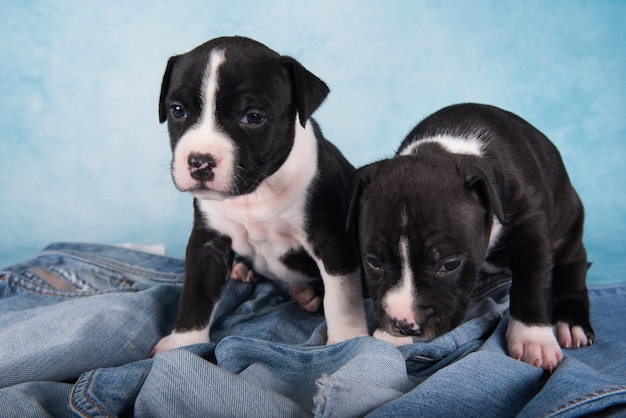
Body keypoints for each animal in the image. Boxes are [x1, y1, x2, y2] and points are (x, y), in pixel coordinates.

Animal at [152, 36, 366, 356]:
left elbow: (342, 299)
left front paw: (347, 339)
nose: (200, 162)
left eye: (253, 117)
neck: (254, 193)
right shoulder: (208, 241)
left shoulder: (331, 241)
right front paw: (183, 343)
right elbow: (196, 292)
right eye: (178, 111)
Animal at [348, 103, 592, 370]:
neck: (446, 148)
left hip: (568, 229)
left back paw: (570, 320)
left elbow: (532, 284)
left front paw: (532, 338)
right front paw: (389, 335)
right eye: (373, 262)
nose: (404, 324)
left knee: (573, 266)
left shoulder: (531, 230)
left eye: (450, 265)